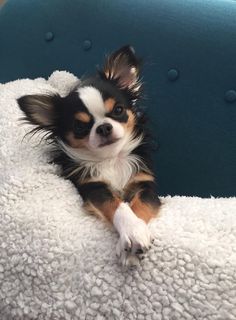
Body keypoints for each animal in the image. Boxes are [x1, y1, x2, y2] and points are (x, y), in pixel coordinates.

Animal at [17, 45, 161, 264]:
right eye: (79, 126)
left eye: (118, 110)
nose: (103, 127)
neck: (111, 158)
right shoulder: (93, 187)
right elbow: (118, 205)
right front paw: (131, 234)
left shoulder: (145, 185)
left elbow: (139, 206)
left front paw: (136, 237)